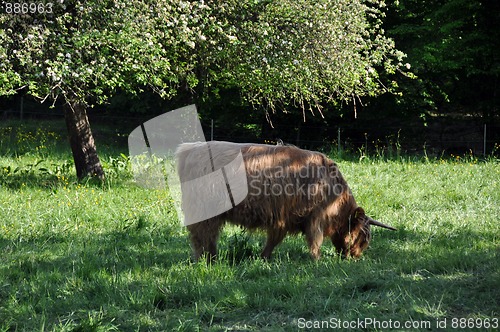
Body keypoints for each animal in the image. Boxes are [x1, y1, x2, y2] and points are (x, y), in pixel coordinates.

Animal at [176, 141, 394, 260]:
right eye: (362, 237)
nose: (356, 257)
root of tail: (189, 149)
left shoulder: (282, 218)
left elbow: (274, 240)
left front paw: (263, 258)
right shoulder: (314, 216)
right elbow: (315, 240)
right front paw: (317, 260)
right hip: (205, 212)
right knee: (202, 236)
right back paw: (207, 260)